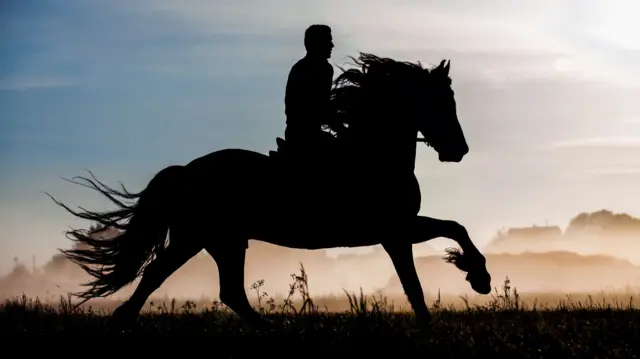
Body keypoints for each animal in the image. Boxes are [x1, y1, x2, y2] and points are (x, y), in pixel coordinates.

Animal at [48, 52, 490, 330]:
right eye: (443, 101)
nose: (459, 150)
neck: (373, 153)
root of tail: (186, 171)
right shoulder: (395, 230)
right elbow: (434, 256)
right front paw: (476, 280)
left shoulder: (397, 231)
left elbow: (441, 247)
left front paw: (466, 285)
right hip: (198, 237)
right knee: (162, 275)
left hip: (223, 241)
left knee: (228, 291)